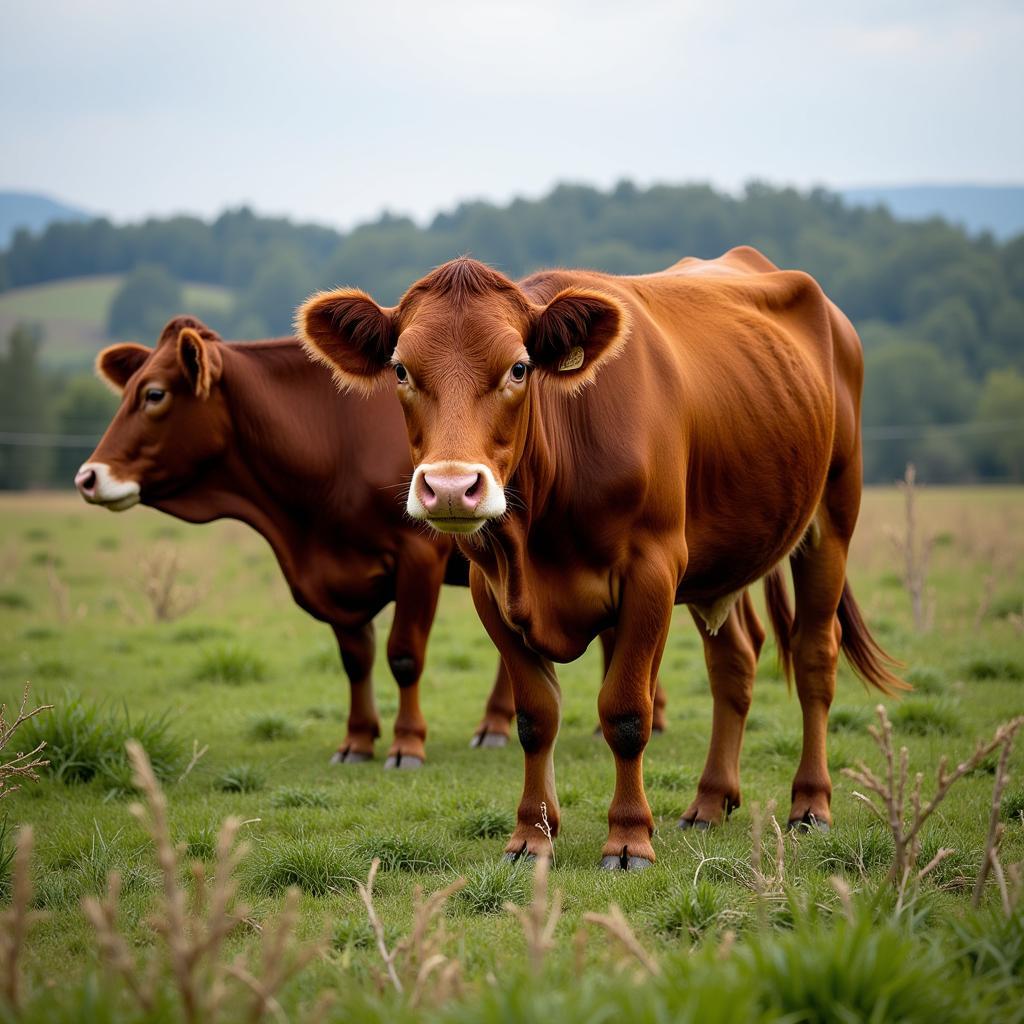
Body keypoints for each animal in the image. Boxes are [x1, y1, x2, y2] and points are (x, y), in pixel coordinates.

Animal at [299, 243, 905, 868]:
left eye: (519, 368)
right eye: (400, 369)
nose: (448, 487)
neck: (540, 538)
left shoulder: (653, 571)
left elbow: (627, 711)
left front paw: (630, 836)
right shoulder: (491, 586)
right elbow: (535, 715)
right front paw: (531, 835)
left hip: (831, 519)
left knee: (814, 656)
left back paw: (810, 804)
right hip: (722, 555)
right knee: (733, 663)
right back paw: (710, 801)